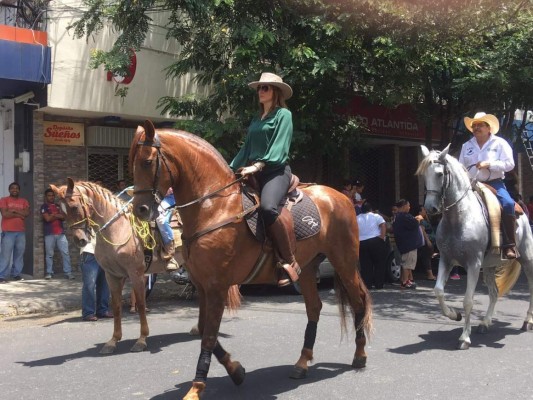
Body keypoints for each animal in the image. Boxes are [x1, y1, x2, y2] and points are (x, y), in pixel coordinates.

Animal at [51, 178, 184, 354]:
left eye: (74, 206)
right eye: (61, 211)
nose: (80, 240)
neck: (119, 228)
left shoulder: (136, 274)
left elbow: (141, 304)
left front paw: (141, 340)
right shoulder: (112, 275)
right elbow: (116, 306)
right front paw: (113, 341)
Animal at [129, 120, 372, 398]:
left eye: (147, 161)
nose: (140, 209)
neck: (213, 208)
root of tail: (340, 196)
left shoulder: (217, 286)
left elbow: (208, 335)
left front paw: (197, 387)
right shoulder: (202, 285)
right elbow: (202, 329)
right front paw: (236, 370)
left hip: (344, 262)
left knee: (358, 301)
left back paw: (360, 354)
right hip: (308, 268)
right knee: (314, 307)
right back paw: (302, 362)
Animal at [416, 145, 532, 350]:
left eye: (439, 174)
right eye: (423, 175)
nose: (430, 208)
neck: (459, 217)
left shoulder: (473, 264)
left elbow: (468, 301)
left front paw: (464, 338)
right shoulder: (446, 260)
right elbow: (438, 291)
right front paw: (454, 315)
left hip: (526, 259)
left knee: (531, 287)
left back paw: (527, 321)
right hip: (490, 266)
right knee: (494, 293)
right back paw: (485, 323)